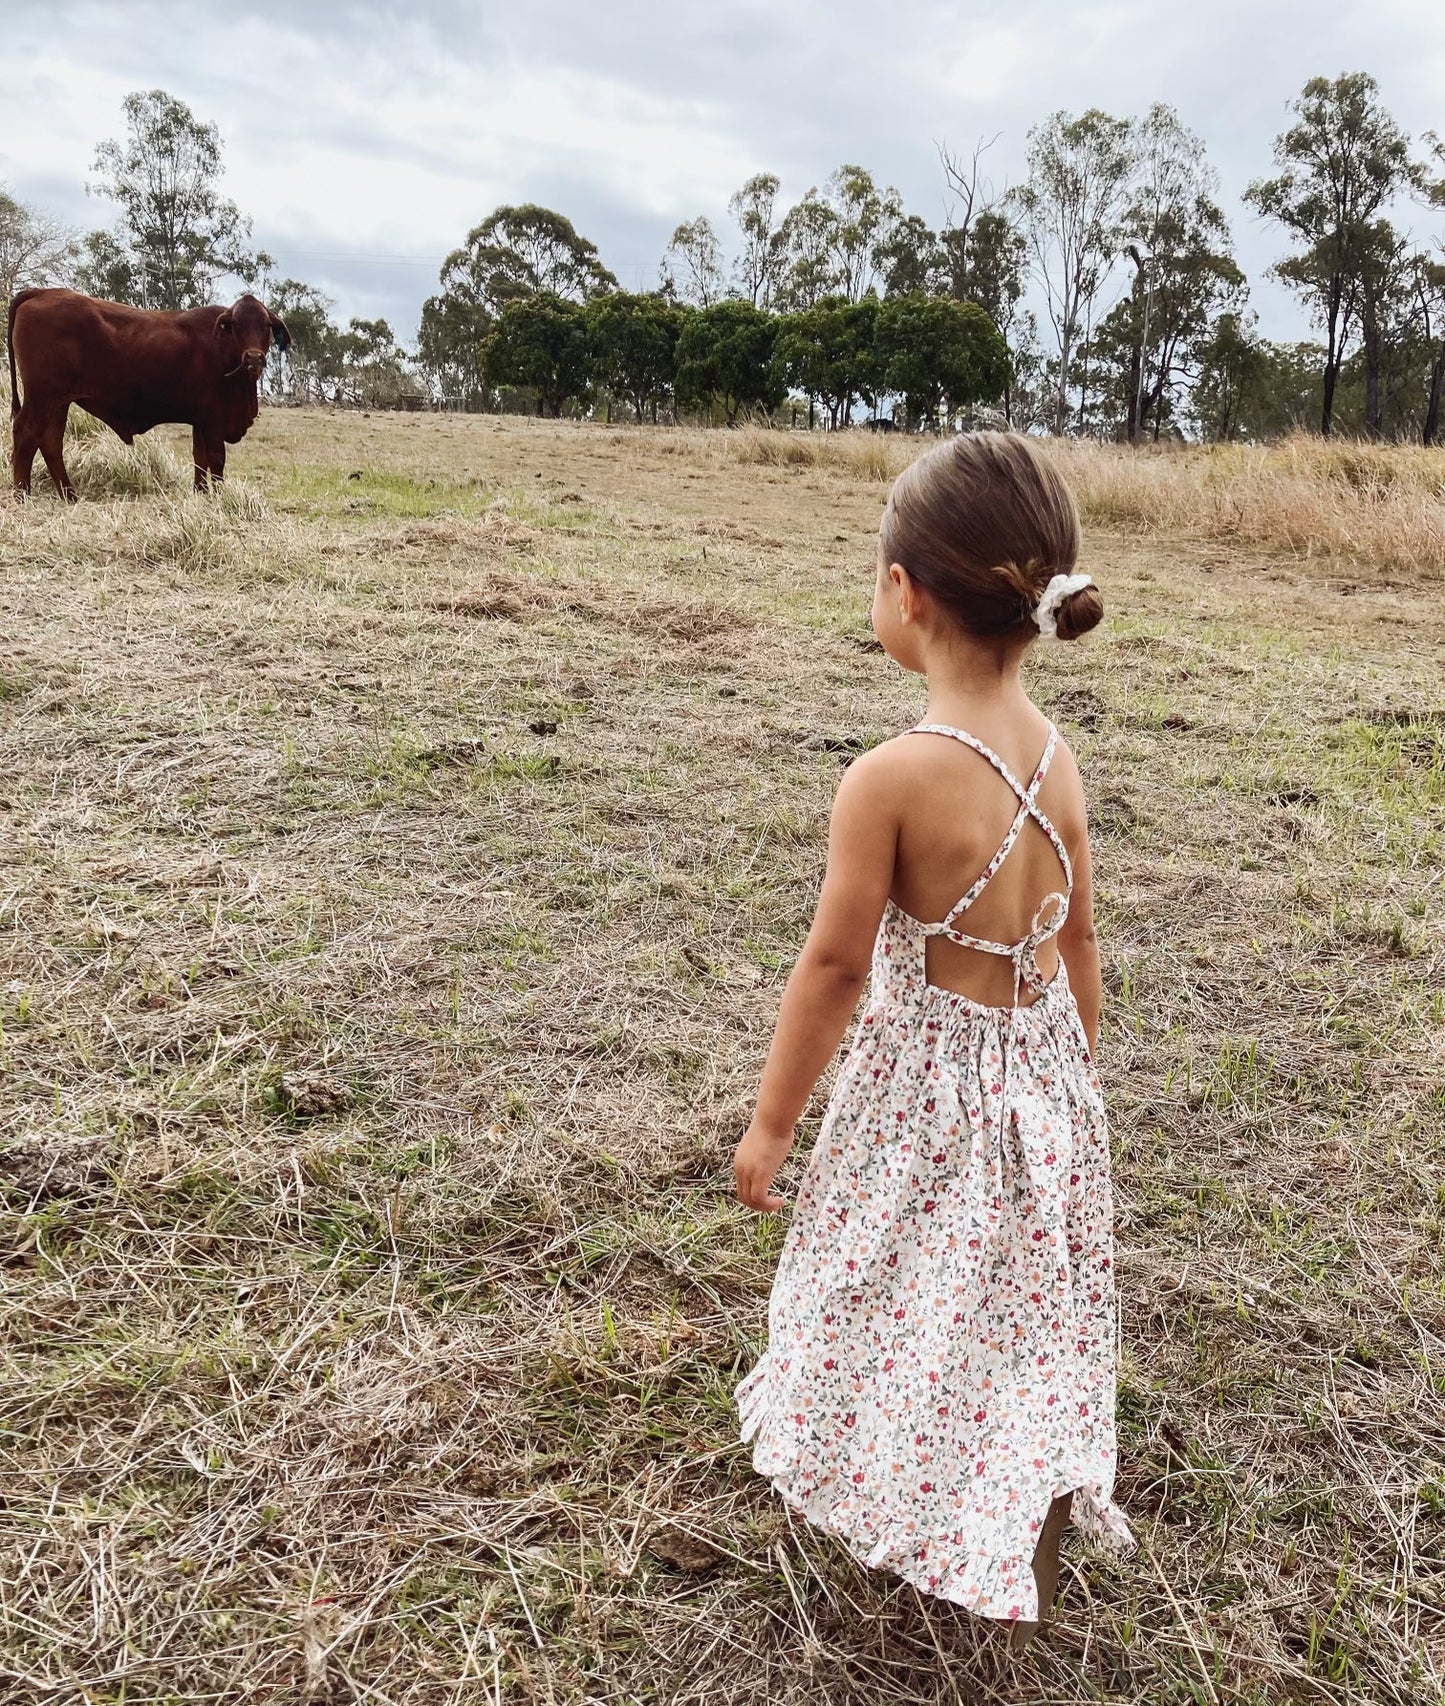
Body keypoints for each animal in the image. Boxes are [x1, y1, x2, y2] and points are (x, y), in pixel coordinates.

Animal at [8, 286, 291, 498]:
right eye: (236, 325)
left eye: (266, 325)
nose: (253, 358)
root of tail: (42, 292)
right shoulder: (212, 419)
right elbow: (216, 459)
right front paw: (219, 498)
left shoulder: (199, 420)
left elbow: (200, 460)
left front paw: (201, 494)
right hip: (41, 399)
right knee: (26, 434)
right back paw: (22, 495)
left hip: (57, 403)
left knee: (50, 442)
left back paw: (69, 495)